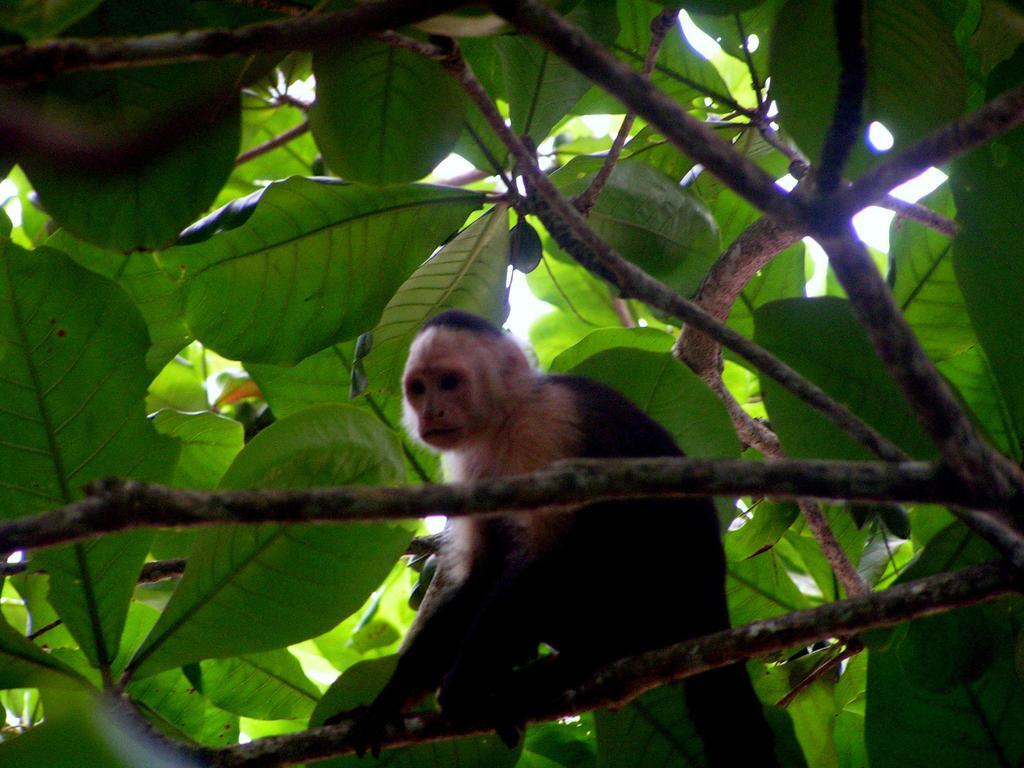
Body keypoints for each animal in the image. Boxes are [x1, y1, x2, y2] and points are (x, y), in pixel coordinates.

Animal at [342, 309, 774, 765]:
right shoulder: (469, 466)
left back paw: (585, 658)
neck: (504, 422)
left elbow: (546, 554)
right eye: (418, 388)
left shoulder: (548, 429)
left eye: (449, 382)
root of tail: (710, 607)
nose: (432, 412)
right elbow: (482, 573)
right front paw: (386, 704)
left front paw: (463, 685)